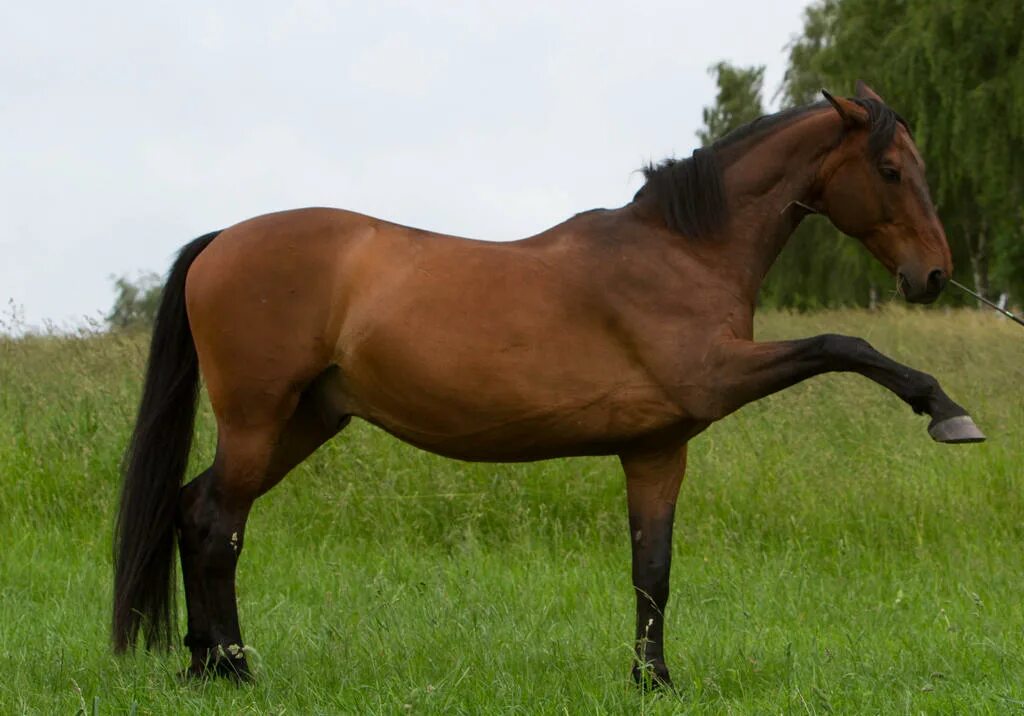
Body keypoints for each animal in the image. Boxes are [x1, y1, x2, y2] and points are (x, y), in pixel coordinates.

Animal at [112, 83, 983, 688]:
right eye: (890, 169)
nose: (934, 274)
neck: (681, 252)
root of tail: (223, 239)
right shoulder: (718, 374)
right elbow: (845, 342)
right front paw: (945, 410)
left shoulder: (657, 450)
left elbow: (653, 570)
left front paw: (653, 681)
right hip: (259, 418)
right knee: (217, 524)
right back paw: (234, 668)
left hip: (305, 420)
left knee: (193, 508)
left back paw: (201, 665)